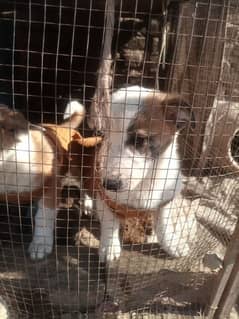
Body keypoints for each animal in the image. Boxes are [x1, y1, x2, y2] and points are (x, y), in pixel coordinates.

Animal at [95, 85, 196, 262]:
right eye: (106, 136)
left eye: (139, 140)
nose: (109, 184)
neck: (145, 183)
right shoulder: (105, 197)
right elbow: (109, 220)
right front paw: (109, 246)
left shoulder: (166, 198)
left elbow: (164, 224)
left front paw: (172, 243)